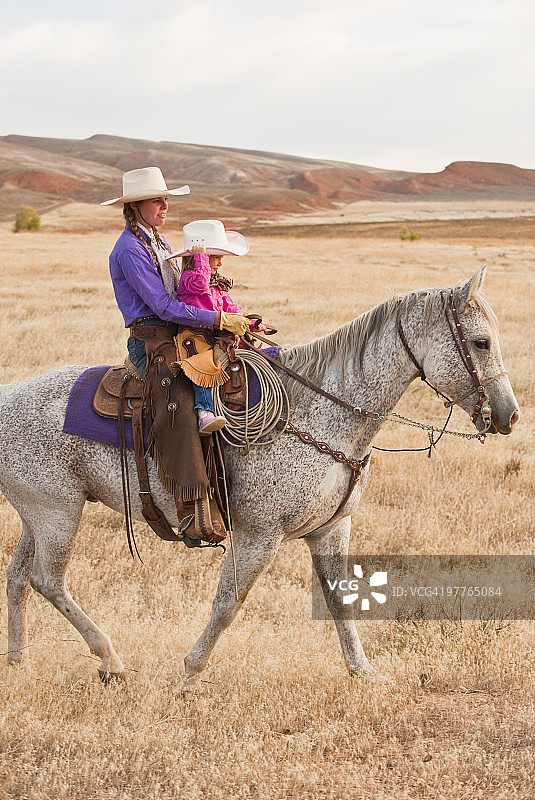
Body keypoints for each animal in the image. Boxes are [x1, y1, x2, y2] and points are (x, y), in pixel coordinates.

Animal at [3, 268, 519, 688]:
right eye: (481, 342)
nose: (509, 415)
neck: (317, 411)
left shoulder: (332, 530)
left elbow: (340, 601)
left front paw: (364, 673)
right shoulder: (259, 536)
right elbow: (228, 602)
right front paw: (189, 675)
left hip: (38, 515)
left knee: (18, 576)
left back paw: (18, 660)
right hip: (58, 514)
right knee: (48, 580)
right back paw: (109, 659)